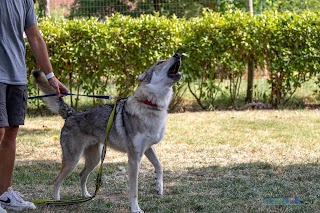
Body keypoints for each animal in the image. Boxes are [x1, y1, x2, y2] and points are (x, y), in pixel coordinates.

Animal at [33, 53, 182, 213]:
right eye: (160, 62)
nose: (178, 54)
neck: (151, 105)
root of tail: (72, 113)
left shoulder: (147, 149)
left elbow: (160, 166)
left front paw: (159, 187)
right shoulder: (134, 159)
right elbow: (134, 190)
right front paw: (135, 209)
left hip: (95, 159)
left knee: (81, 175)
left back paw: (86, 195)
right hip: (73, 160)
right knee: (56, 180)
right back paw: (56, 201)